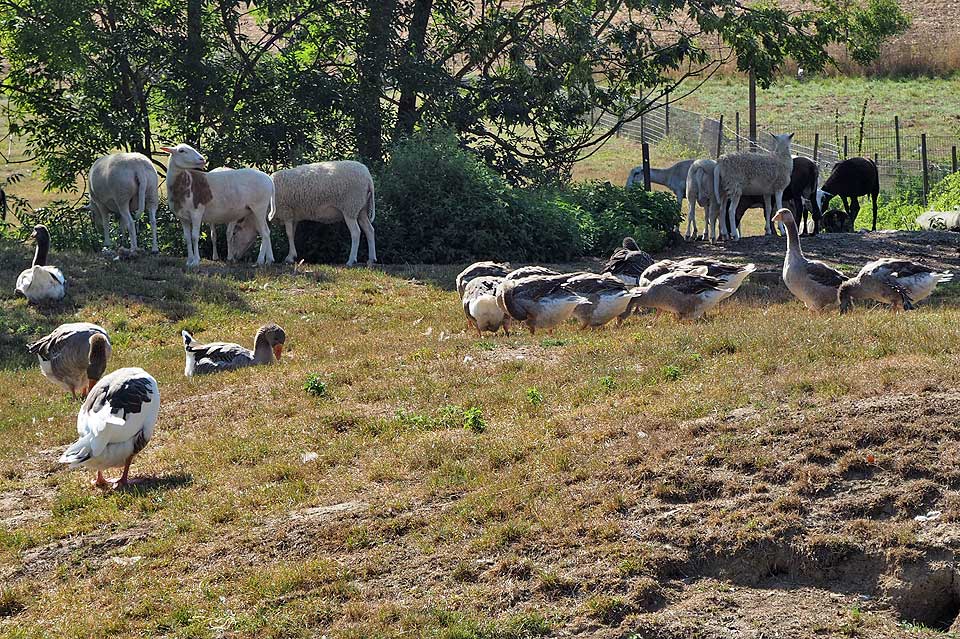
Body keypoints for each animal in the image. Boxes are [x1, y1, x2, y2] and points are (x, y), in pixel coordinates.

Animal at [234, 162, 376, 270]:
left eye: (235, 233)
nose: (235, 257)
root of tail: (368, 178)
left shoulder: (287, 212)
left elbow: (289, 234)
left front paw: (289, 257)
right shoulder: (294, 216)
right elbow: (292, 233)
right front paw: (290, 256)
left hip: (350, 207)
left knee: (356, 232)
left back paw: (351, 260)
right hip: (361, 209)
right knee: (369, 230)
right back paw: (371, 259)